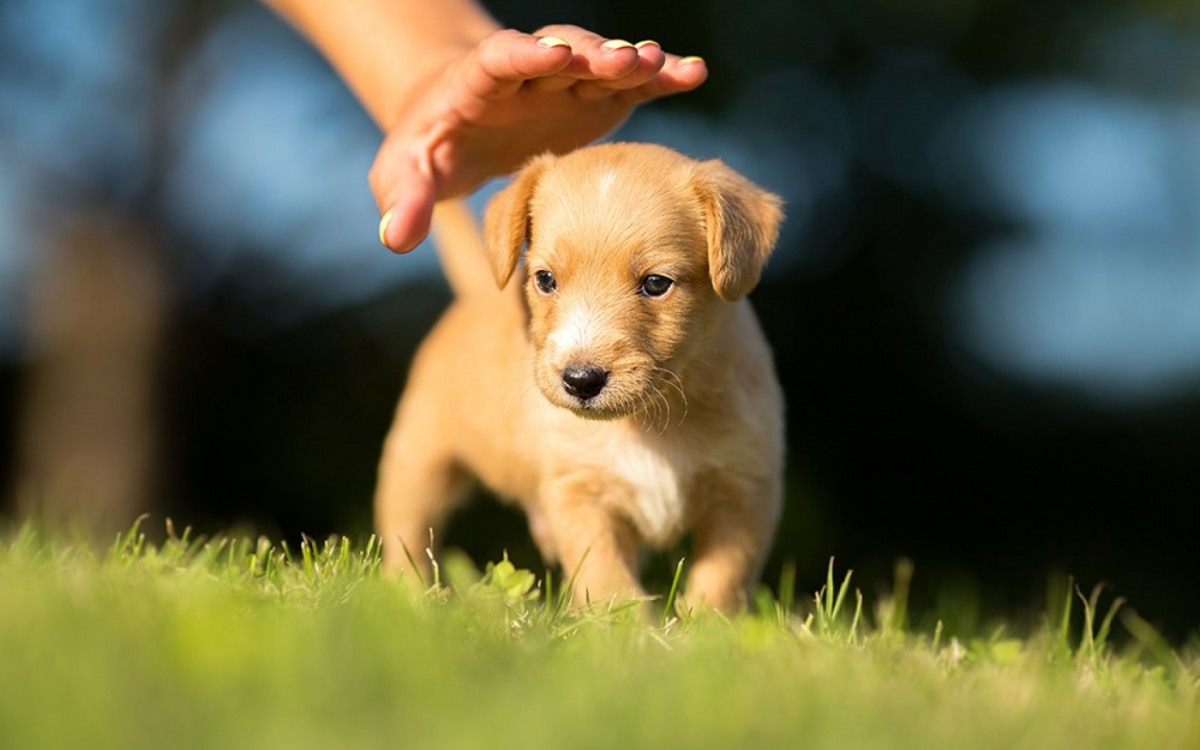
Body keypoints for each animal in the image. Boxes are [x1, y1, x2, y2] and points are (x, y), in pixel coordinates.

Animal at [376, 143, 787, 612]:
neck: (651, 426)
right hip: (417, 458)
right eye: (545, 279)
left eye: (656, 283)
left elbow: (721, 580)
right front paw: (628, 627)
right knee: (406, 533)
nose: (580, 380)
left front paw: (705, 626)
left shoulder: (745, 492)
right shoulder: (579, 495)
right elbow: (608, 580)